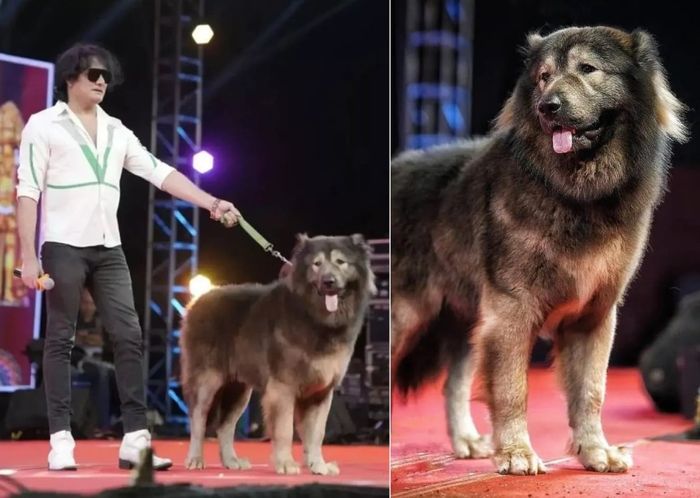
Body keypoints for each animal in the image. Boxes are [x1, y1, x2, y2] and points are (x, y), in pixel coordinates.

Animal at [180, 233, 378, 474]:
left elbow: (317, 434)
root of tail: (197, 301)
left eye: (341, 262)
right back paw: (195, 459)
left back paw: (231, 461)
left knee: (225, 426)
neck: (314, 316)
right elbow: (285, 430)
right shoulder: (283, 387)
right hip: (206, 381)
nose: (328, 281)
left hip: (238, 389)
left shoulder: (321, 392)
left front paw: (318, 465)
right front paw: (285, 464)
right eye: (317, 264)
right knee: (198, 419)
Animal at [394, 26, 688, 474]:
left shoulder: (593, 316)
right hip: (405, 317)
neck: (575, 194)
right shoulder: (511, 311)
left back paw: (466, 441)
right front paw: (517, 454)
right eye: (544, 77)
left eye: (588, 69)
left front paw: (596, 452)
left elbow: (591, 392)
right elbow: (512, 390)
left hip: (463, 322)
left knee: (452, 386)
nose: (547, 106)